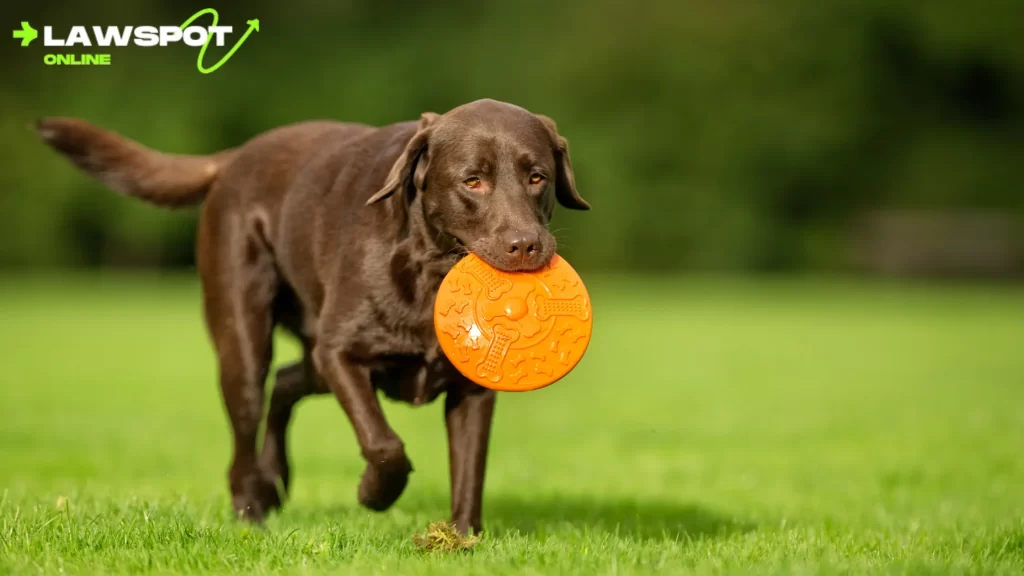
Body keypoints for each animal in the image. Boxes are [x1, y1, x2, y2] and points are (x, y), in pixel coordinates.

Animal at [36, 99, 593, 532]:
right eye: (472, 181)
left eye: (537, 177)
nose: (526, 245)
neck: (430, 270)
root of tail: (236, 157)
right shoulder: (340, 353)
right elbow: (383, 443)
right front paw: (374, 493)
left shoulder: (472, 389)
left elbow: (470, 468)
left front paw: (461, 539)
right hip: (245, 341)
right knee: (247, 423)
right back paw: (251, 509)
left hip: (309, 358)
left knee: (285, 383)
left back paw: (275, 479)